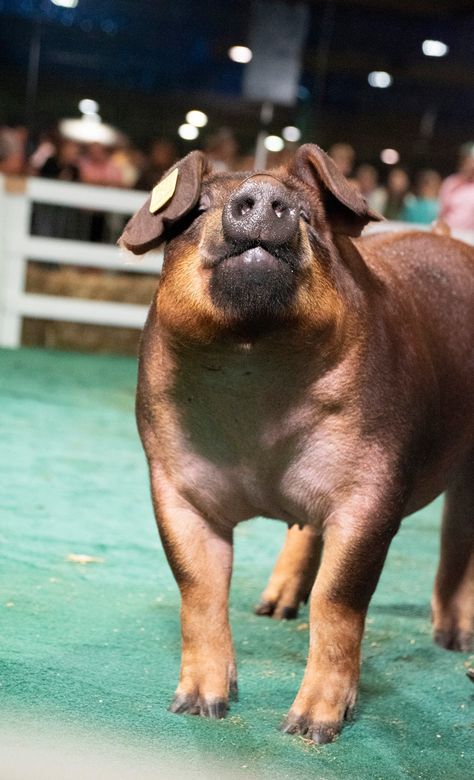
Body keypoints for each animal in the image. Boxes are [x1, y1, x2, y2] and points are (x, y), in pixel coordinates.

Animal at [119, 145, 474, 744]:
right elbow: (199, 588)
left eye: (308, 215)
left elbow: (339, 599)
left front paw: (309, 730)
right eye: (196, 212)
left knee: (458, 537)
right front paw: (196, 707)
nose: (264, 193)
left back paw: (453, 641)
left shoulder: (373, 490)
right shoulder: (173, 485)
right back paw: (273, 609)